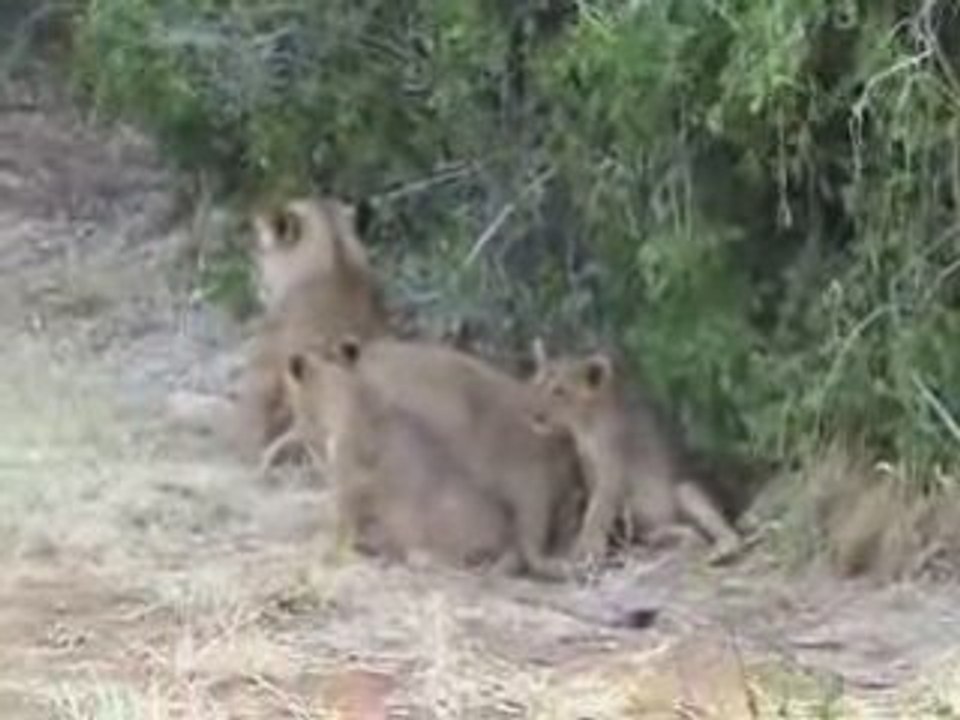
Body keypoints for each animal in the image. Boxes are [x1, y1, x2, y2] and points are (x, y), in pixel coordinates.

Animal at [529, 341, 744, 566]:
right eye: (536, 383)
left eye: (559, 391)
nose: (534, 415)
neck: (586, 426)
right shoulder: (590, 467)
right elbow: (594, 506)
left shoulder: (613, 470)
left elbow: (598, 511)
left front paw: (587, 549)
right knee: (683, 532)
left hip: (685, 489)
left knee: (719, 529)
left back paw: (722, 547)